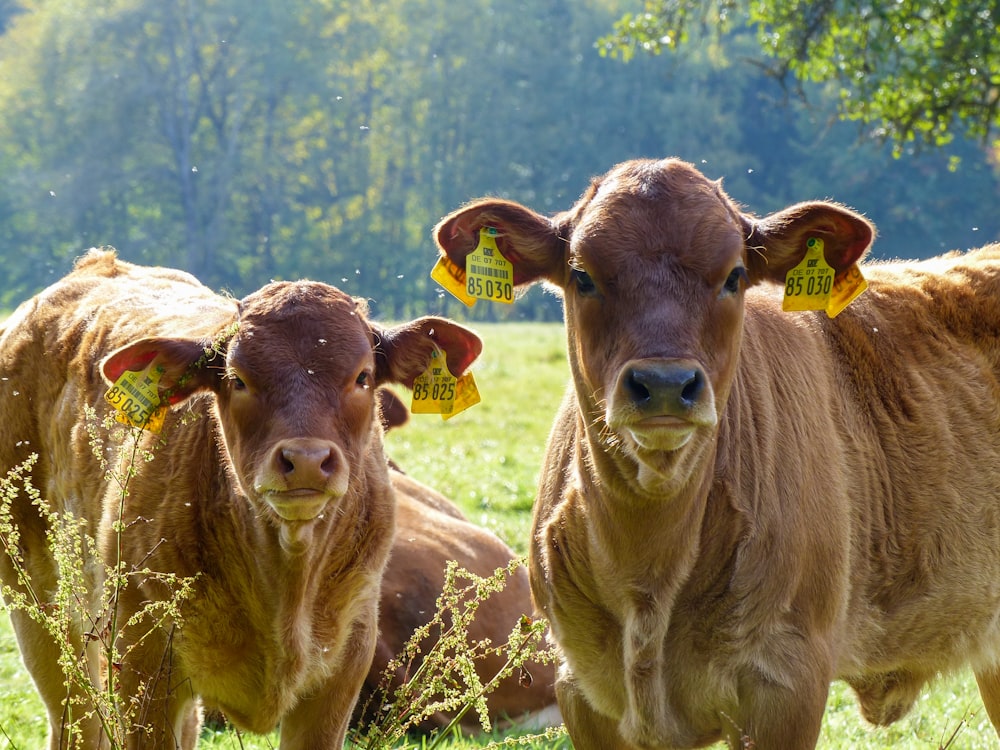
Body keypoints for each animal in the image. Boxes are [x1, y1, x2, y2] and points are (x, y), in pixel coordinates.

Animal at [0, 250, 484, 748]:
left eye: (363, 376)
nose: (306, 460)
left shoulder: (345, 662)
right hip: (40, 601)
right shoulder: (141, 663)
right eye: (238, 379)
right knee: (76, 715)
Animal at [434, 156, 1000, 748]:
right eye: (583, 274)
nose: (664, 384)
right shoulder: (581, 689)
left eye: (734, 275)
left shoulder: (787, 682)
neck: (649, 570)